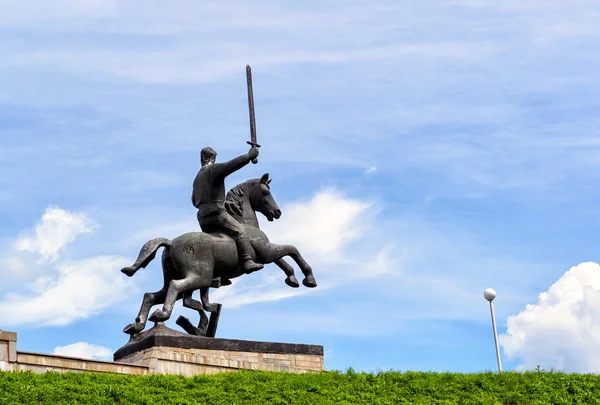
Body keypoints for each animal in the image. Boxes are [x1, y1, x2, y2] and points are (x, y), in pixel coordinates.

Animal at [119, 174, 316, 334]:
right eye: (265, 192)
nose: (277, 212)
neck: (245, 223)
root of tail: (171, 243)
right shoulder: (267, 252)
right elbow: (291, 250)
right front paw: (308, 278)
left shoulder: (266, 253)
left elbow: (283, 260)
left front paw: (292, 278)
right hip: (200, 276)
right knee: (175, 287)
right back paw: (162, 315)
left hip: (176, 278)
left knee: (152, 295)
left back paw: (137, 325)